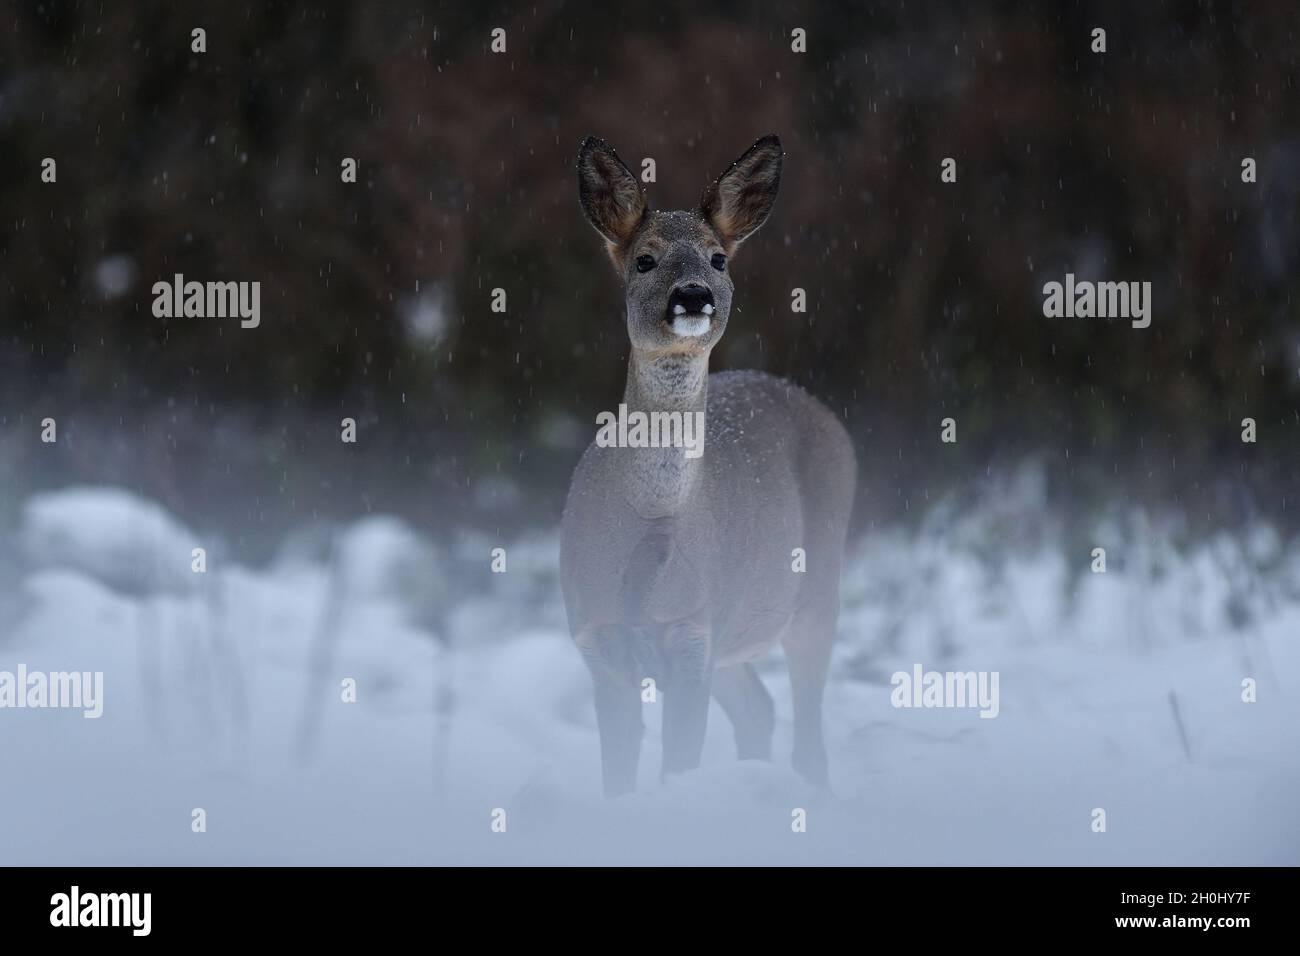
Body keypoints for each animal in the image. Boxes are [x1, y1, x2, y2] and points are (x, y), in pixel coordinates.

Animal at [556, 130, 852, 796]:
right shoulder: (596, 637)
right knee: (760, 708)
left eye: (719, 259)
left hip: (817, 588)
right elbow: (620, 777)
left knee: (808, 733)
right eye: (645, 260)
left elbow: (678, 766)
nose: (693, 296)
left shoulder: (694, 633)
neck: (650, 518)